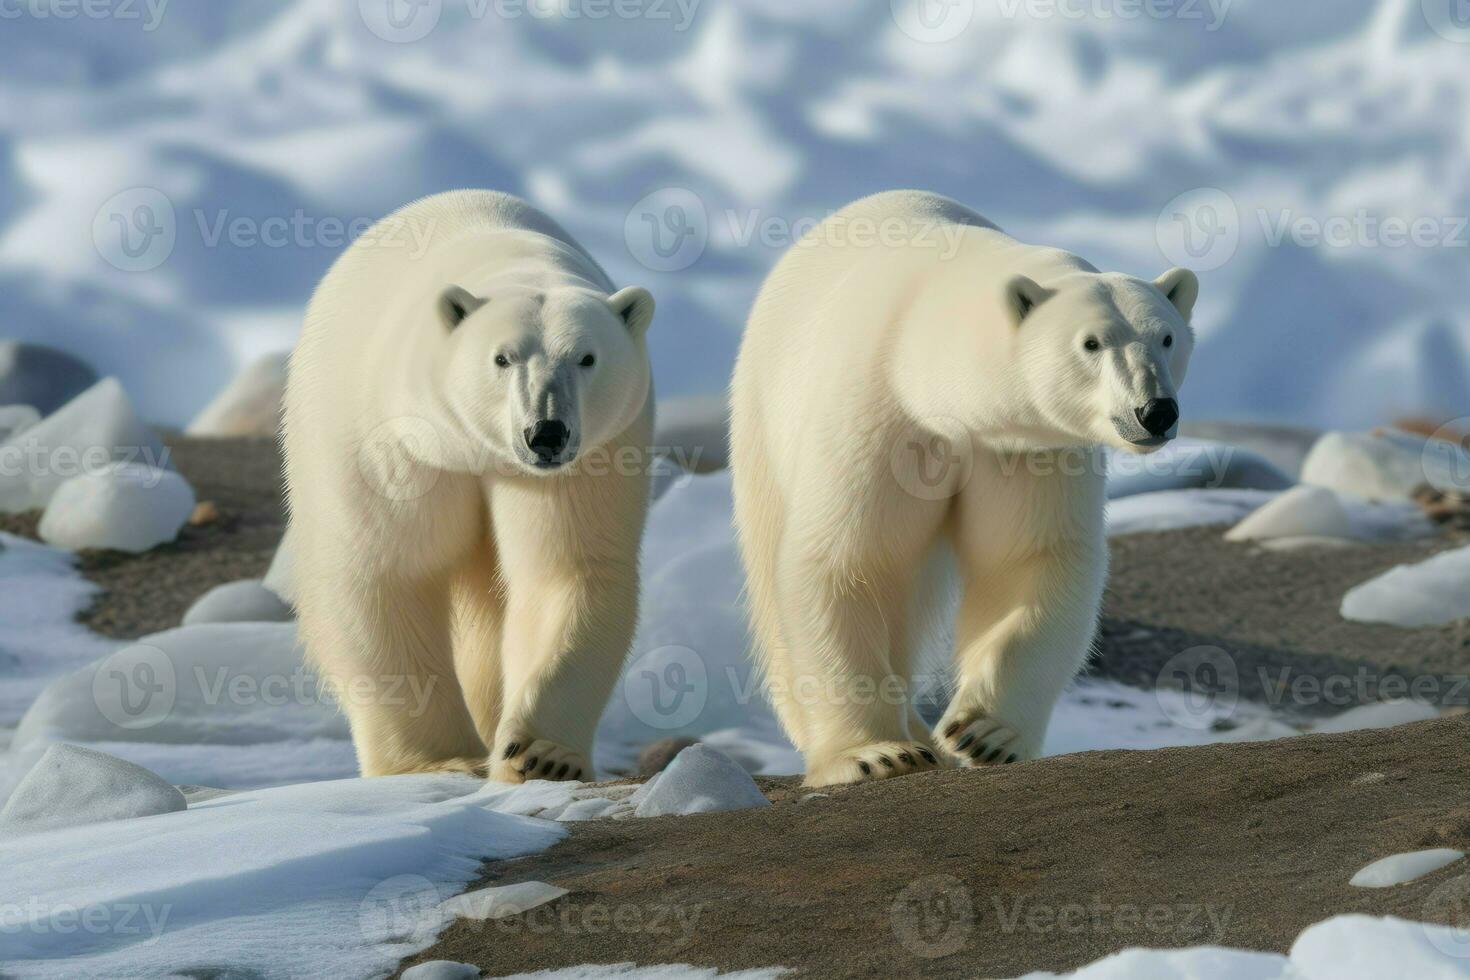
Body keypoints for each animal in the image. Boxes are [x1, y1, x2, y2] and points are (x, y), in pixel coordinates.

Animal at [280, 189, 655, 781]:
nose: (546, 433)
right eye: (502, 357)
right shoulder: (400, 448)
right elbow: (390, 575)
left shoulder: (589, 458)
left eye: (587, 357)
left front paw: (541, 755)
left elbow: (565, 571)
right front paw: (439, 760)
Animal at [729, 193, 1199, 787]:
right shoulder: (878, 414)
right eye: (1091, 343)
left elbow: (1028, 561)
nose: (1155, 411)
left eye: (1166, 336)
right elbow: (846, 560)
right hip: (763, 414)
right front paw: (874, 753)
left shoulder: (1022, 449)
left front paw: (984, 734)